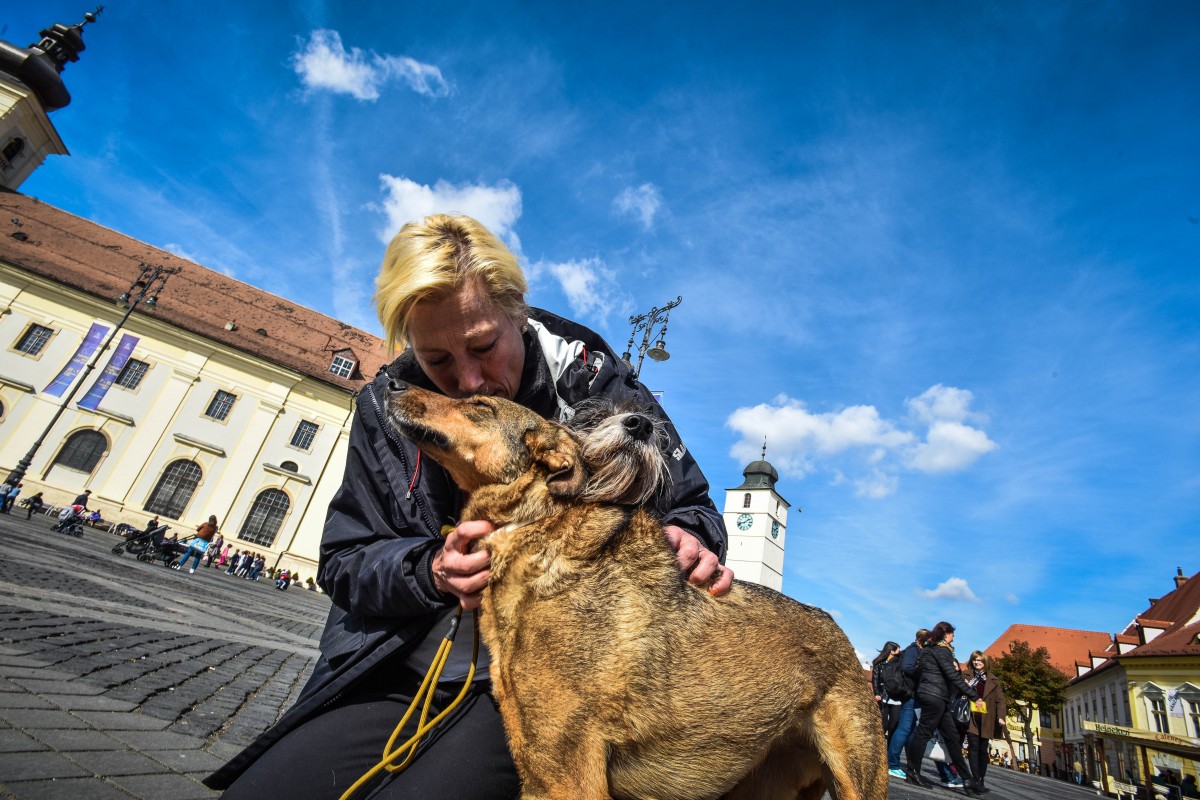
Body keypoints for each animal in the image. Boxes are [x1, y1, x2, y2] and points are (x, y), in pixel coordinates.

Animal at [386, 383, 892, 796]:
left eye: (479, 405)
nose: (390, 382)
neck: (536, 529)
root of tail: (840, 635)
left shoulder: (564, 775)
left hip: (860, 777)